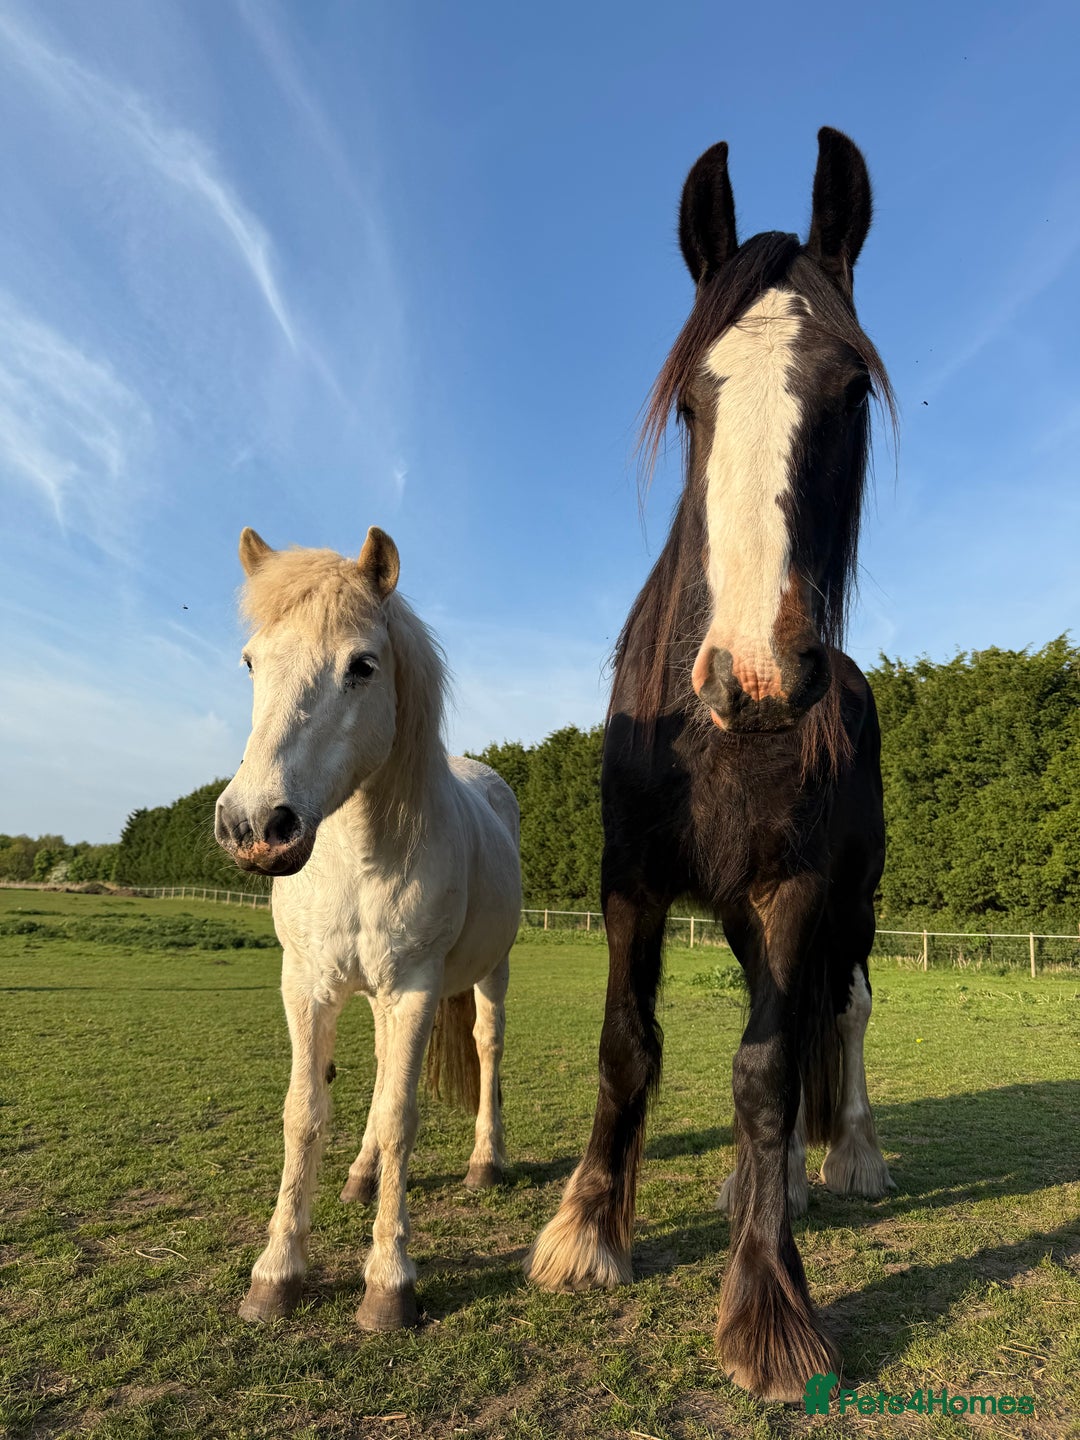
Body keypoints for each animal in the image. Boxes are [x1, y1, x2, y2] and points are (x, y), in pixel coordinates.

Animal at [215, 526, 521, 1331]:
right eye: (251, 661)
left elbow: (400, 1118)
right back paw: (358, 1177)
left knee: (486, 1048)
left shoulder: (414, 987)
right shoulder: (306, 985)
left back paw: (486, 1162)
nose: (255, 826)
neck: (354, 860)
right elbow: (304, 1113)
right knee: (384, 1072)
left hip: (489, 974)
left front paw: (389, 1283)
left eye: (362, 665)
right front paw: (276, 1272)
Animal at [525, 129, 896, 1402]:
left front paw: (768, 1308)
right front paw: (588, 1233)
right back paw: (756, 1183)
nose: (757, 675)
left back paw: (845, 1160)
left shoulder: (796, 888)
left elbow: (770, 1067)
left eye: (848, 391)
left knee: (842, 1011)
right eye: (693, 400)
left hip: (846, 903)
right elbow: (627, 1045)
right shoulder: (631, 880)